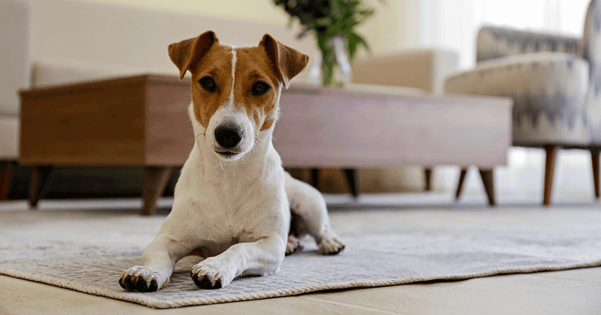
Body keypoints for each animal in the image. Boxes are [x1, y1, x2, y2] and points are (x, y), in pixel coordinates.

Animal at [118, 30, 342, 292]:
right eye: (207, 82)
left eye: (260, 86)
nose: (228, 134)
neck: (229, 176)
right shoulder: (168, 239)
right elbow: (159, 256)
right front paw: (147, 271)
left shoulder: (269, 246)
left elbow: (238, 248)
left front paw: (215, 266)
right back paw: (293, 242)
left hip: (308, 202)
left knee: (320, 228)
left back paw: (329, 241)